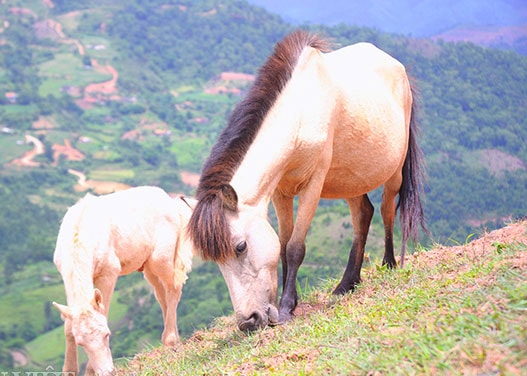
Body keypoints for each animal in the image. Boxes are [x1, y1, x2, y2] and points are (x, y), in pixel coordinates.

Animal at [53, 187, 196, 374]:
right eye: (80, 343)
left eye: (107, 334)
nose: (106, 372)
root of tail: (170, 201)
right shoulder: (65, 274)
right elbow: (69, 325)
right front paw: (70, 370)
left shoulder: (109, 272)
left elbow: (104, 311)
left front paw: (91, 371)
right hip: (148, 267)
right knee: (161, 295)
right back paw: (174, 339)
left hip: (161, 257)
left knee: (174, 287)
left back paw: (170, 340)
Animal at [188, 30, 426, 332]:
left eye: (240, 247)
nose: (248, 322)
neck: (301, 109)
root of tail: (398, 67)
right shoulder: (280, 192)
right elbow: (282, 246)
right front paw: (287, 303)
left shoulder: (313, 185)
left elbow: (294, 248)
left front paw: (286, 308)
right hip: (349, 180)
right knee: (363, 214)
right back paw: (347, 284)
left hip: (393, 172)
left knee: (386, 211)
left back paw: (391, 264)